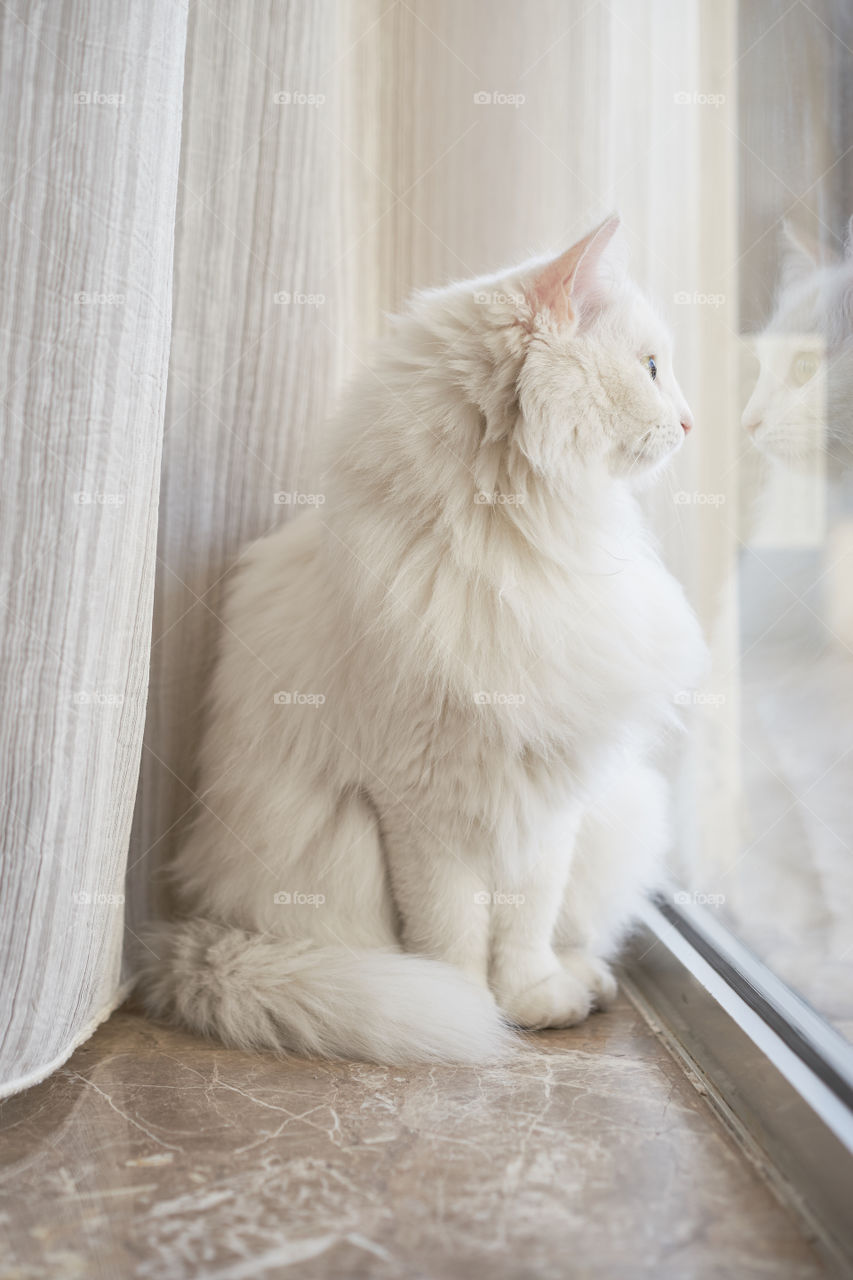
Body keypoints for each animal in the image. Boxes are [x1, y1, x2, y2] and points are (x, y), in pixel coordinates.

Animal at [136, 217, 701, 1059]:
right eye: (653, 368)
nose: (692, 424)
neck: (512, 542)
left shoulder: (545, 795)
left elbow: (525, 922)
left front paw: (532, 1000)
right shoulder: (420, 802)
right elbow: (450, 931)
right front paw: (471, 1008)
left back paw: (583, 985)